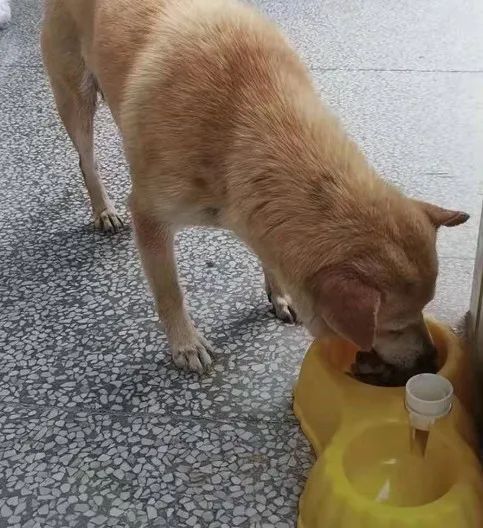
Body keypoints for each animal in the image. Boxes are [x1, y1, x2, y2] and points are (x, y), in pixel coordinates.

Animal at [41, 1, 468, 380]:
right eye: (393, 326)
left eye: (423, 311)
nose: (431, 360)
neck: (253, 122)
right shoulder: (150, 217)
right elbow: (169, 292)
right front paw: (185, 342)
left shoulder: (256, 215)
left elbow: (269, 256)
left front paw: (278, 295)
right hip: (76, 97)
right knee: (86, 160)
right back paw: (102, 207)